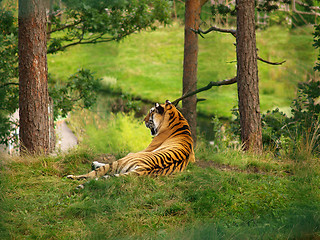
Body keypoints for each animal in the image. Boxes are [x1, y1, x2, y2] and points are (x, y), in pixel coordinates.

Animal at [66, 100, 194, 182]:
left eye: (151, 112)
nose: (143, 120)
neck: (178, 118)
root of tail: (144, 169)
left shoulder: (141, 150)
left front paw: (94, 164)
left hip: (121, 161)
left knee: (92, 174)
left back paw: (72, 176)